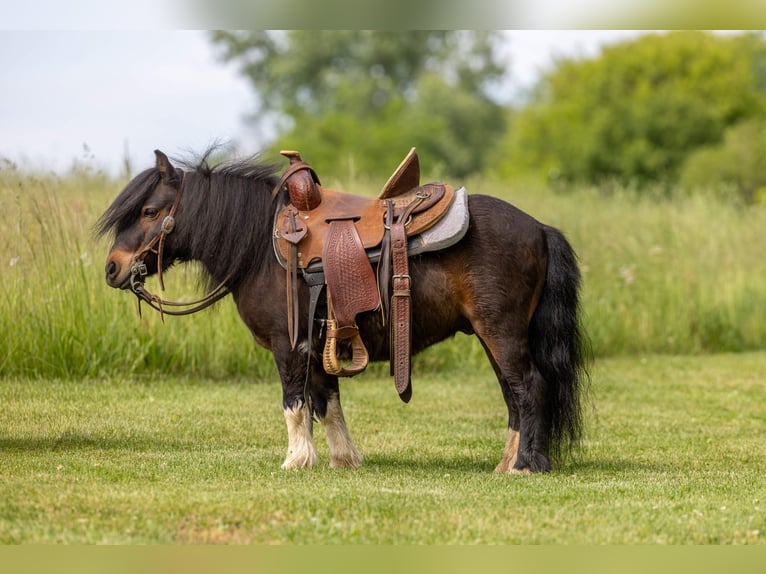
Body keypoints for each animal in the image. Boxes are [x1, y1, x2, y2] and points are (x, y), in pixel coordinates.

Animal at [97, 149, 589, 474]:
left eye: (149, 211)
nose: (112, 267)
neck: (259, 248)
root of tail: (540, 228)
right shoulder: (321, 344)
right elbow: (326, 401)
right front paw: (342, 459)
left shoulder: (290, 345)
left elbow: (295, 402)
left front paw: (296, 460)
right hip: (493, 335)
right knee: (513, 395)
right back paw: (508, 463)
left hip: (501, 332)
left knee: (530, 387)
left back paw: (528, 465)